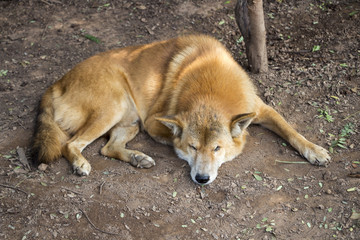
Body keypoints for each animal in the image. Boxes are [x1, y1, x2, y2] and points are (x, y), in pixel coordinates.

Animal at [32, 34, 330, 184]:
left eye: (217, 148)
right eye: (193, 147)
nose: (201, 178)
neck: (211, 88)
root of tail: (56, 84)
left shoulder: (261, 109)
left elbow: (291, 130)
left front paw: (314, 151)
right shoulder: (153, 121)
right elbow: (172, 137)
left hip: (128, 120)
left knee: (107, 148)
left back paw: (137, 158)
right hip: (115, 109)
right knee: (72, 144)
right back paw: (80, 163)